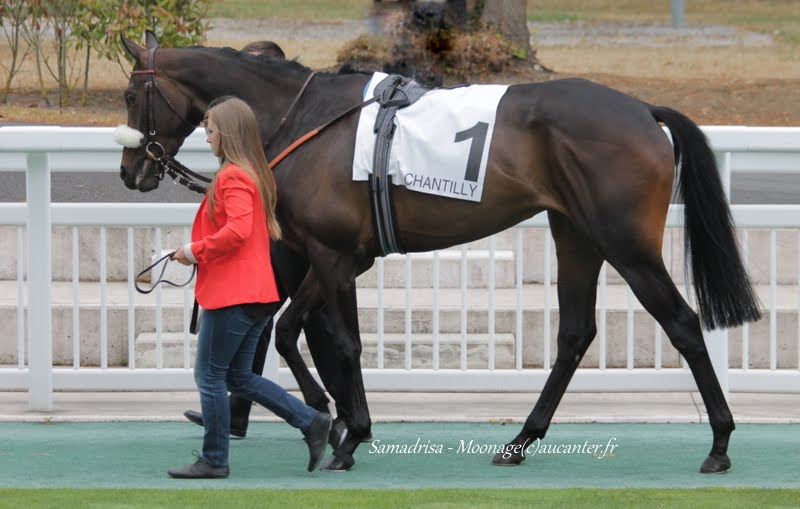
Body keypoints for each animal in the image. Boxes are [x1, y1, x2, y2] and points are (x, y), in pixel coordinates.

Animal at [120, 32, 764, 472]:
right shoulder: (338, 256)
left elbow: (340, 341)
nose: (130, 172)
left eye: (130, 94)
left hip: (625, 243)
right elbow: (292, 330)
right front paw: (329, 418)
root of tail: (643, 110)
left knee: (682, 323)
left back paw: (720, 443)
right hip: (575, 233)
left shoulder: (331, 254)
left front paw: (349, 433)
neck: (304, 118)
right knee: (575, 333)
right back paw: (519, 441)